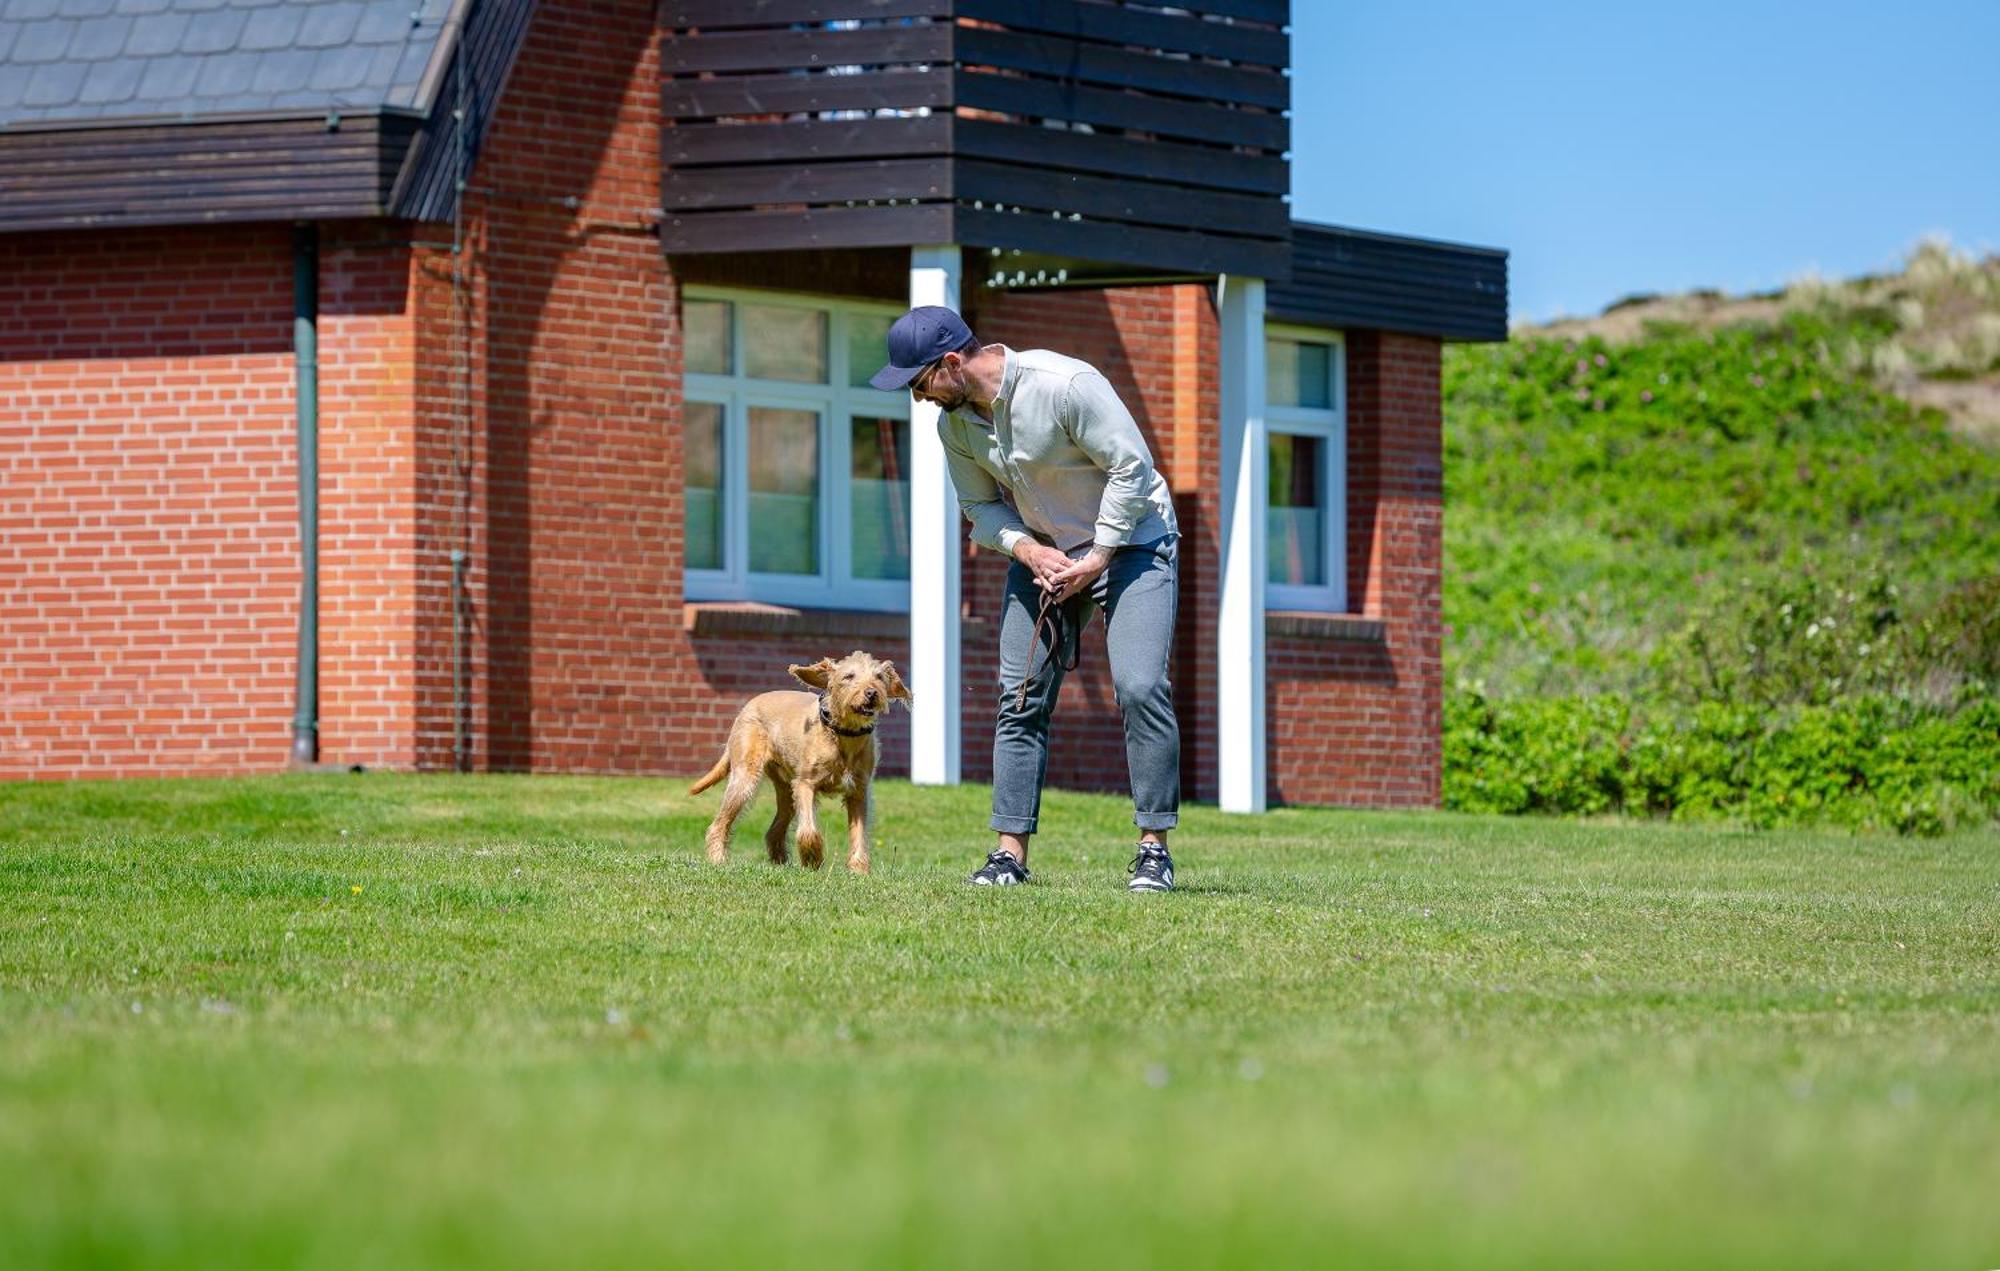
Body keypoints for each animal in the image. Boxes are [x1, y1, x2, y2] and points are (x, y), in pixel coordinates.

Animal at [688, 651, 908, 867]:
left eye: (879, 677)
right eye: (849, 676)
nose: (872, 693)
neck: (843, 735)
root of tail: (747, 706)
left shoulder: (858, 792)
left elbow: (859, 834)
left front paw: (858, 869)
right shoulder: (805, 784)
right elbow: (808, 830)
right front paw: (813, 859)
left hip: (786, 790)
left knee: (775, 829)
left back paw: (781, 863)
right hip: (744, 779)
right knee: (719, 824)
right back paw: (718, 859)